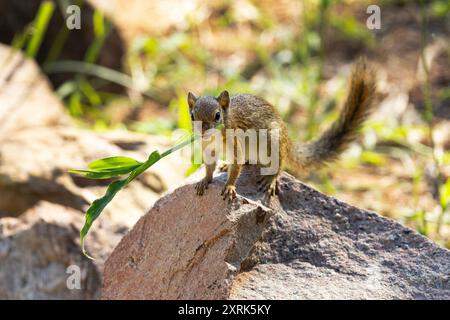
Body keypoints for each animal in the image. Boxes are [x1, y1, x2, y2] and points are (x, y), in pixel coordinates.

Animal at [186, 57, 376, 202]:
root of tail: (287, 140)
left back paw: (270, 179)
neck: (214, 138)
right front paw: (205, 180)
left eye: (217, 115)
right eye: (192, 116)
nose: (203, 130)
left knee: (279, 164)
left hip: (273, 142)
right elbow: (209, 166)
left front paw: (230, 186)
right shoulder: (208, 149)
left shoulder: (235, 143)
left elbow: (237, 166)